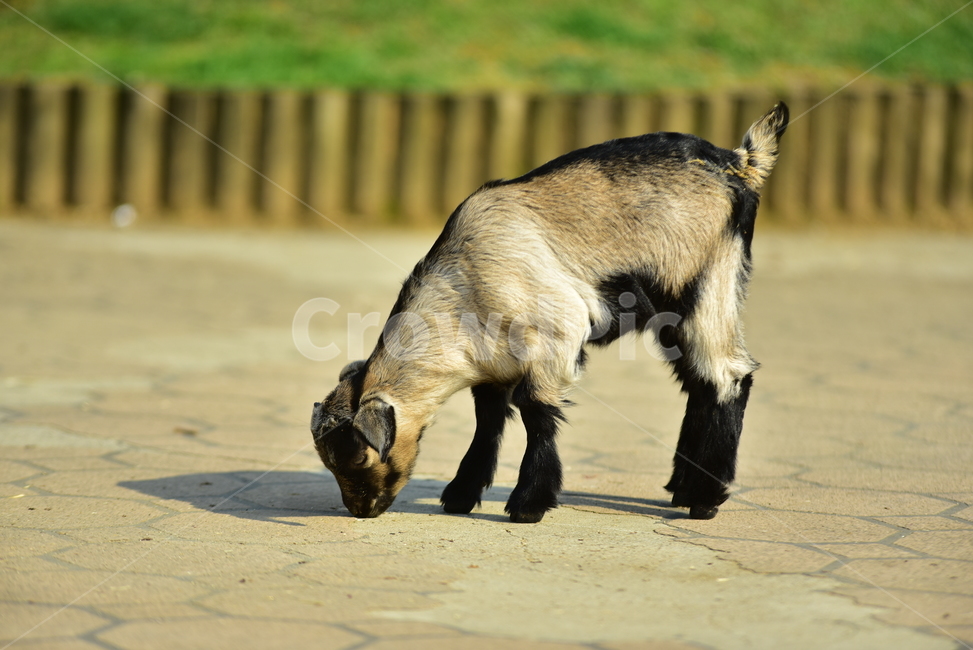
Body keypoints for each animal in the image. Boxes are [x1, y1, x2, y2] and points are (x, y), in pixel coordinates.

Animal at [311, 102, 789, 523]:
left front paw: (528, 505)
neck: (466, 280)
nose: (361, 509)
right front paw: (461, 494)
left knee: (727, 376)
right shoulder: (493, 361)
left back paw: (705, 500)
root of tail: (740, 162)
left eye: (358, 456)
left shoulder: (556, 335)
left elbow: (536, 412)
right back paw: (683, 488)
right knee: (699, 383)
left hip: (707, 284)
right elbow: (488, 420)